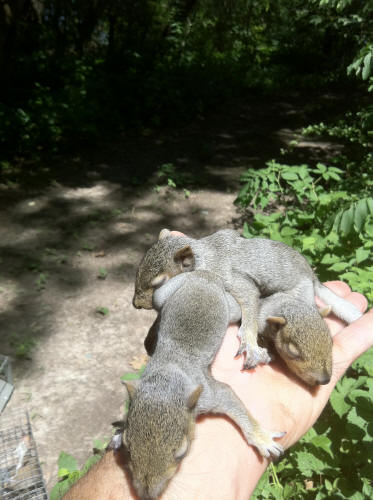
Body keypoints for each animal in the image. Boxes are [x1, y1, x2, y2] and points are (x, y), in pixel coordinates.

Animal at [123, 270, 284, 500]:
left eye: (182, 453)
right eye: (128, 449)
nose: (147, 495)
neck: (168, 373)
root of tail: (205, 275)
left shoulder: (210, 394)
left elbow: (232, 402)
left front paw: (262, 439)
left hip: (229, 307)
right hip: (166, 293)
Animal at [133, 229, 360, 374]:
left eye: (158, 283)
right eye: (138, 268)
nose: (136, 304)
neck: (204, 259)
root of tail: (312, 278)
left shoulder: (235, 280)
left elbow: (250, 304)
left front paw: (250, 343)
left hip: (299, 293)